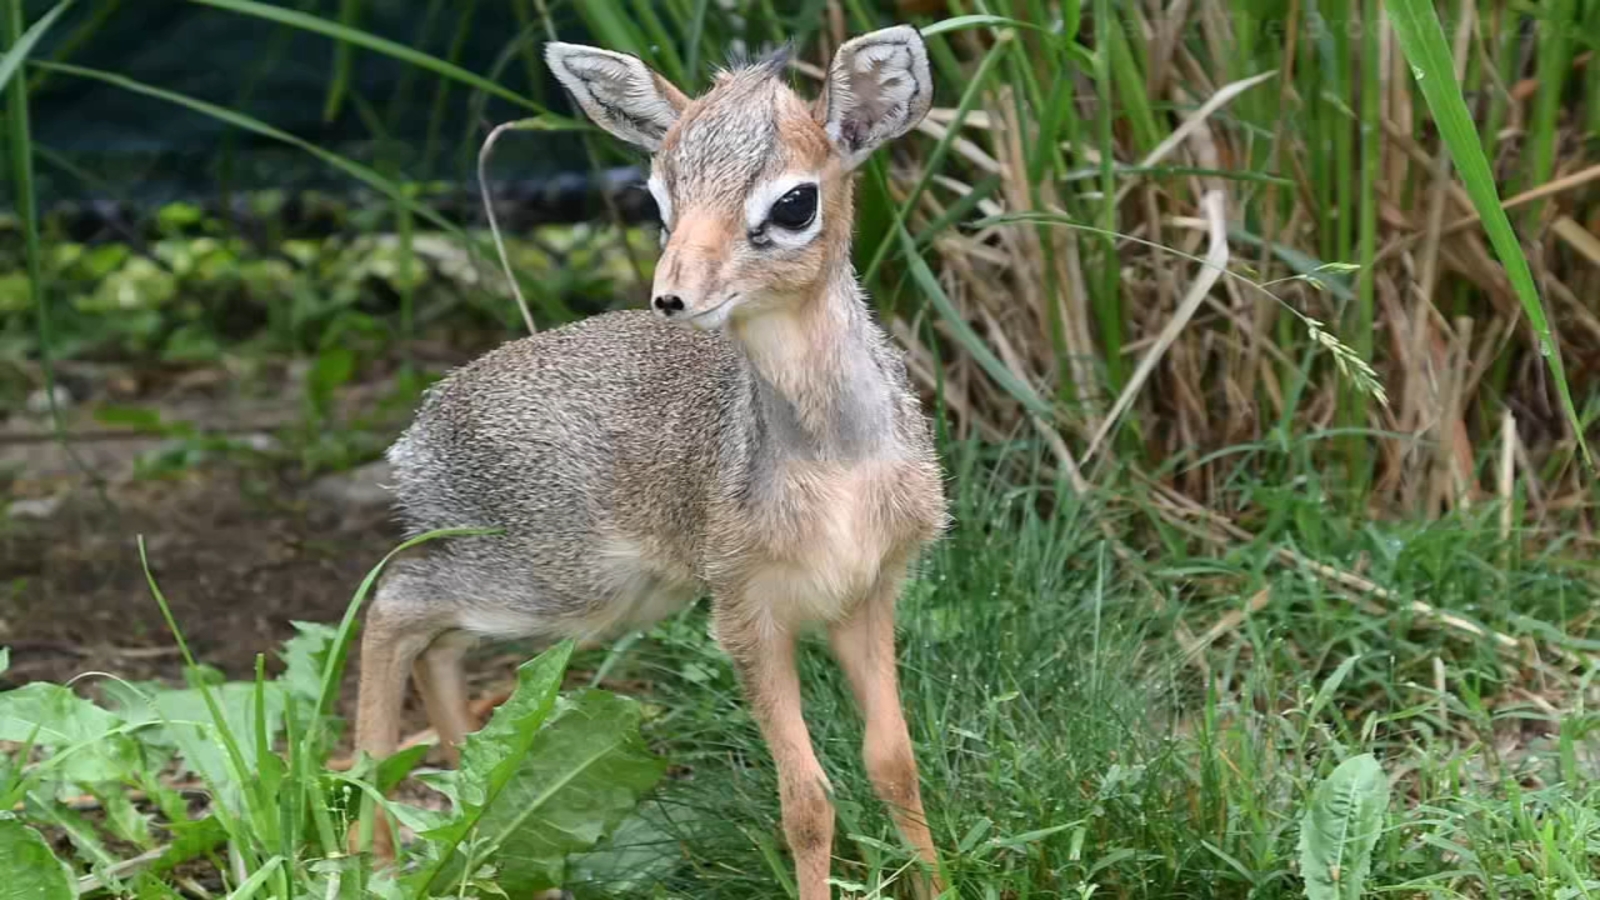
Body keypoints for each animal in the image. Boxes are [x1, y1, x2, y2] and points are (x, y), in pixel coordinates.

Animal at [350, 24, 940, 890]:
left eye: (795, 201)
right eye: (657, 201)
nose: (672, 296)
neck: (836, 463)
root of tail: (418, 433)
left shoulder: (867, 595)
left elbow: (893, 764)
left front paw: (943, 882)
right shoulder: (746, 615)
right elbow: (807, 801)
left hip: (587, 595)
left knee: (437, 641)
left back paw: (469, 822)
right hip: (554, 581)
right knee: (392, 605)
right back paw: (371, 849)